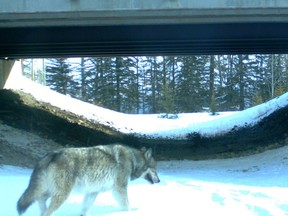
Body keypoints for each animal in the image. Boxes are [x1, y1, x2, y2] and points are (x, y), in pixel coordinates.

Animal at [16, 143, 160, 216]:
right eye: (155, 169)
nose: (159, 181)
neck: (133, 160)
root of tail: (52, 154)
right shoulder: (119, 189)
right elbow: (127, 206)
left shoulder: (92, 192)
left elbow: (85, 208)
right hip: (61, 194)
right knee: (46, 210)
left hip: (50, 191)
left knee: (40, 201)